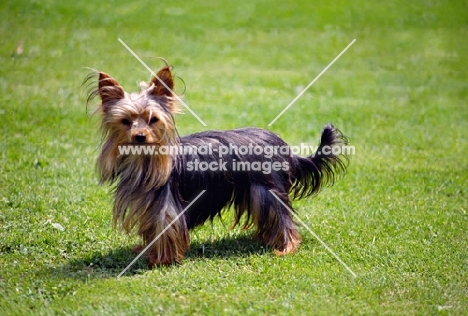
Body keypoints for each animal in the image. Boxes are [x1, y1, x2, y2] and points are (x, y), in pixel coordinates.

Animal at [85, 64, 348, 266]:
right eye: (125, 121)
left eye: (153, 119)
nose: (139, 136)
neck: (145, 161)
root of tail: (284, 147)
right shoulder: (148, 205)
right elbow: (152, 230)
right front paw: (145, 251)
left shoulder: (166, 206)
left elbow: (165, 229)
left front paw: (160, 260)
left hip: (264, 191)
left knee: (282, 219)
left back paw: (286, 247)